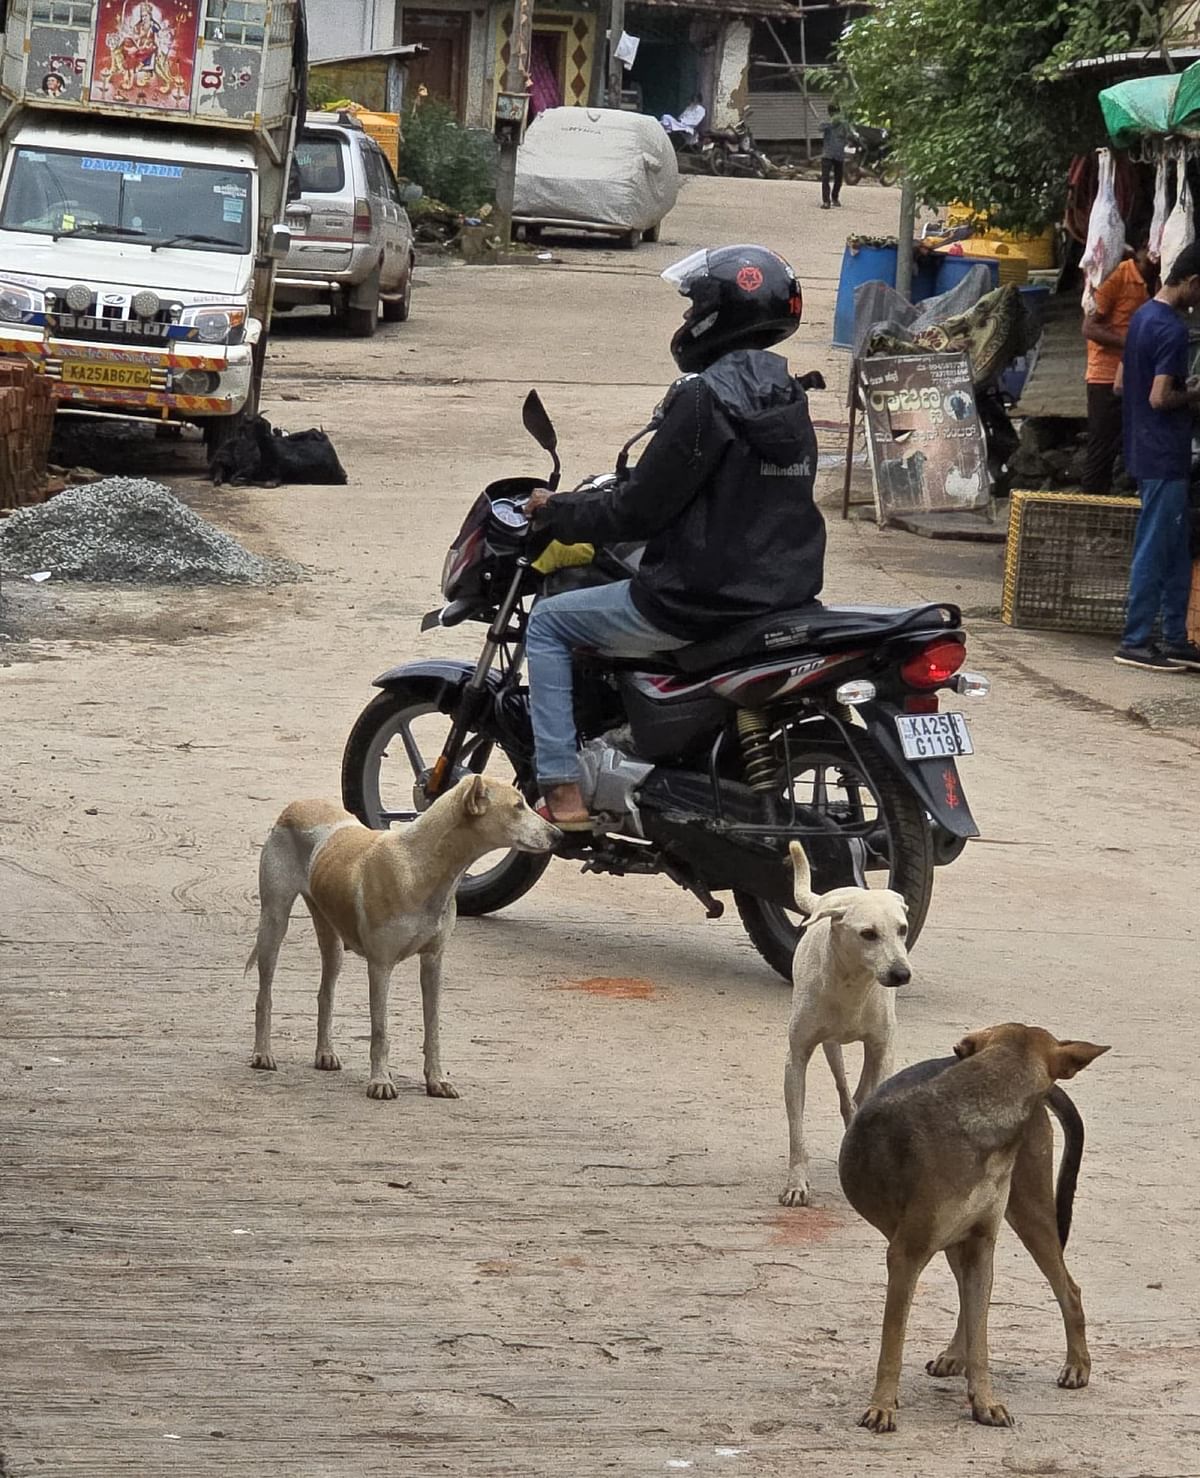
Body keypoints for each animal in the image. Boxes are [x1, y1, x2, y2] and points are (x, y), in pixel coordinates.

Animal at [246, 774, 561, 1099]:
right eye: (518, 806)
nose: (559, 835)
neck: (419, 866)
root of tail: (297, 804)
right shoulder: (380, 966)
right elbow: (380, 1031)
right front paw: (380, 1081)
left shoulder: (433, 961)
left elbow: (433, 1028)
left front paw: (437, 1080)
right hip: (273, 922)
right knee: (264, 995)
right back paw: (262, 1053)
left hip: (331, 938)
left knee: (325, 994)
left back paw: (325, 1053)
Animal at [780, 839, 910, 1206]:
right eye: (868, 934)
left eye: (902, 929)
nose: (902, 974)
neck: (852, 984)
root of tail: (835, 896)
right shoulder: (796, 1058)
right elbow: (797, 1130)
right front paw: (797, 1183)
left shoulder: (882, 1049)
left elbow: (870, 1096)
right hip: (830, 1045)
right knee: (842, 1088)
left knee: (858, 1094)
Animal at [833, 1028, 1105, 1430]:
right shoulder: (909, 1255)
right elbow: (893, 1343)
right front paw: (882, 1405)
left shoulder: (978, 1244)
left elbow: (981, 1343)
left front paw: (984, 1400)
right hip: (961, 1240)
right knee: (968, 1296)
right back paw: (954, 1356)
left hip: (1030, 1215)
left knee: (1068, 1290)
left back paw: (1076, 1365)